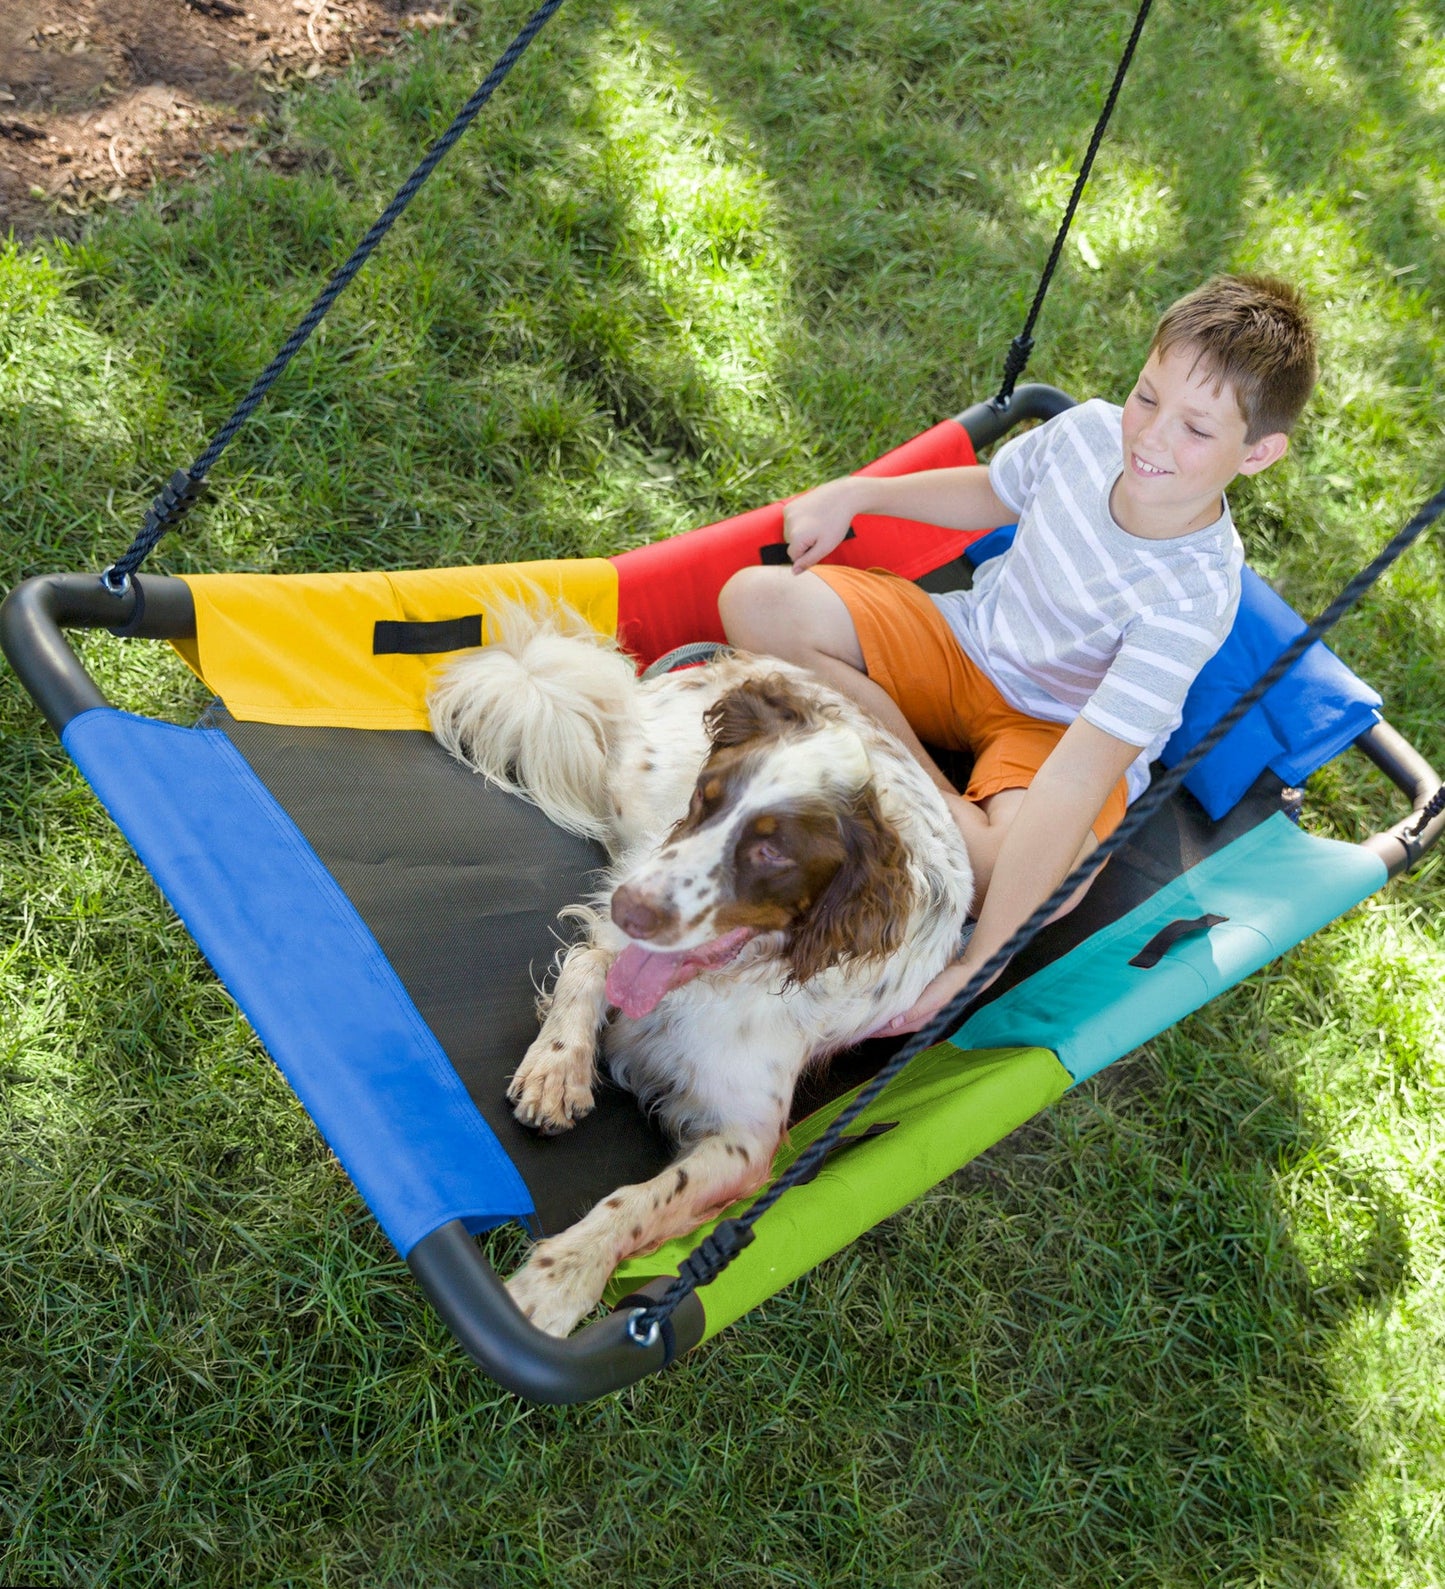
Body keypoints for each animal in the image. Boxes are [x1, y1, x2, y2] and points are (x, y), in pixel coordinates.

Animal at [422, 600, 972, 1334]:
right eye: (705, 799)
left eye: (772, 853)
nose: (632, 908)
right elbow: (588, 962)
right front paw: (556, 1068)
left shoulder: (747, 1141)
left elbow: (637, 1200)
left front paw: (560, 1276)